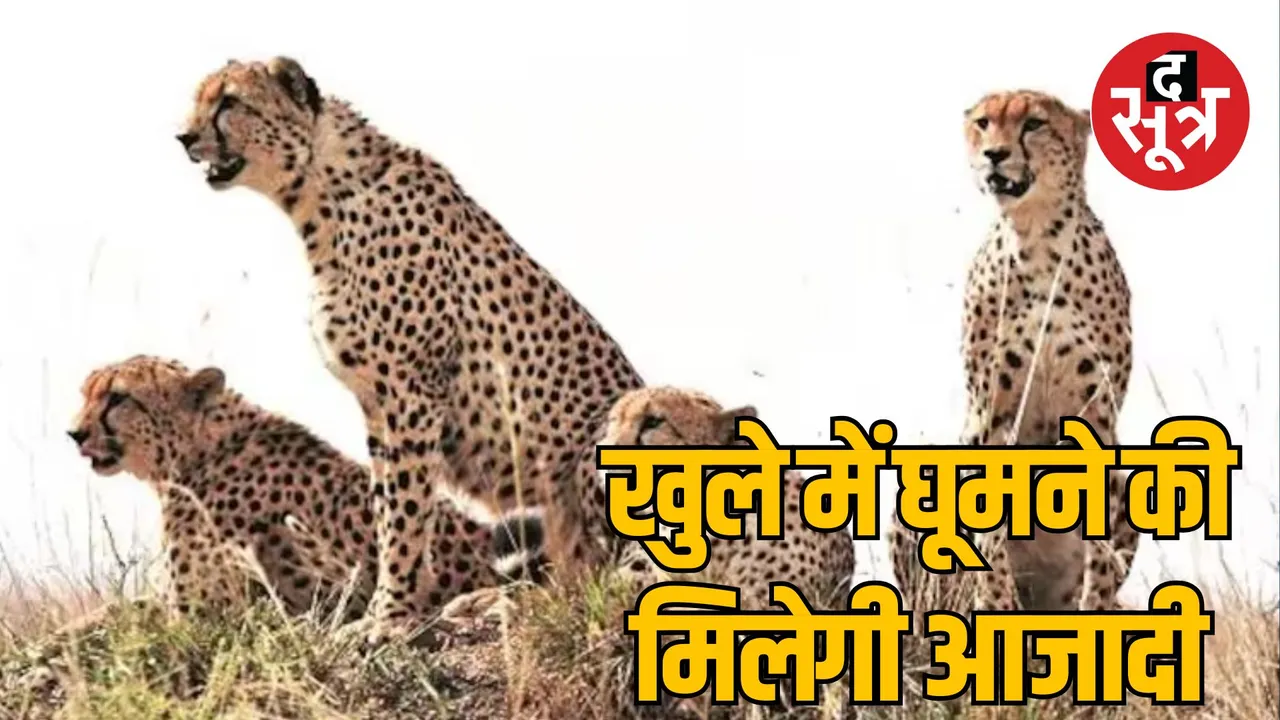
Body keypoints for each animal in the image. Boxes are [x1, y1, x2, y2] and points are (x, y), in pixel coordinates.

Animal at [66, 355, 546, 625]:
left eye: (118, 399)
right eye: (85, 393)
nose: (74, 433)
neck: (198, 449)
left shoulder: (205, 609)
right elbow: (114, 610)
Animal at [176, 57, 644, 644]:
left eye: (230, 102)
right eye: (200, 100)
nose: (184, 137)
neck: (321, 198)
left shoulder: (411, 395)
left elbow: (406, 513)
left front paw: (390, 618)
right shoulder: (376, 406)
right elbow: (388, 508)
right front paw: (392, 609)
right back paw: (485, 601)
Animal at [889, 89, 1138, 630]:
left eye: (1034, 125)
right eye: (984, 123)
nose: (994, 155)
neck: (1037, 234)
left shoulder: (1099, 412)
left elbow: (1100, 555)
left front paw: (1095, 611)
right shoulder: (991, 411)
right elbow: (991, 537)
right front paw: (996, 602)